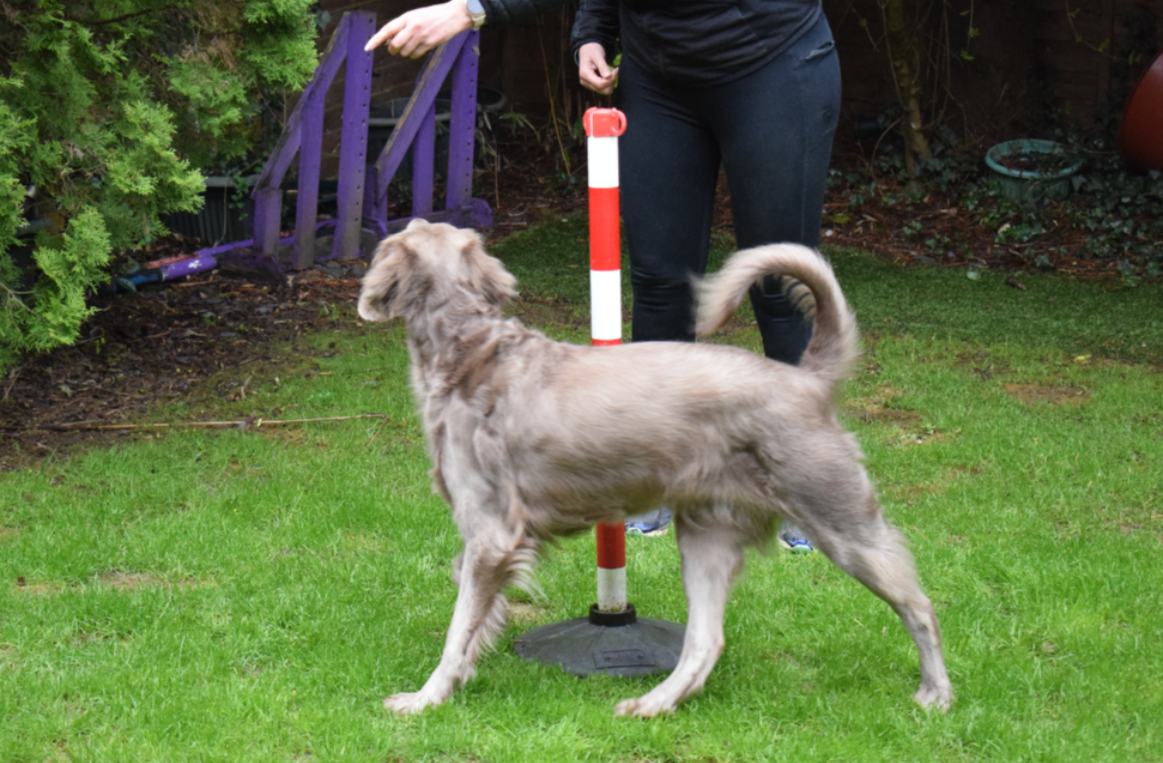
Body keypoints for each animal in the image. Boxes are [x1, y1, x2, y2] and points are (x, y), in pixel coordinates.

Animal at [355, 218, 953, 716]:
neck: (472, 353)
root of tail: (806, 379)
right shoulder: (486, 543)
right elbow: (472, 611)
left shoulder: (491, 534)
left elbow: (457, 630)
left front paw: (427, 697)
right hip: (707, 537)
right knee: (705, 641)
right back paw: (654, 704)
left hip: (843, 525)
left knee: (921, 607)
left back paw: (937, 695)